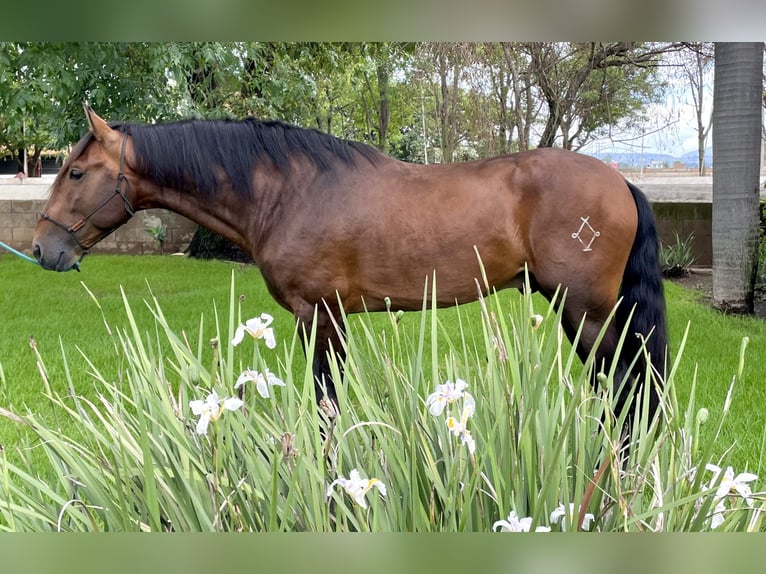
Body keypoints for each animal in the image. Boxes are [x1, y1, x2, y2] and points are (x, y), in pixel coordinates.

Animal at [33, 107, 664, 424]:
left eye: (76, 172)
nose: (43, 248)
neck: (290, 190)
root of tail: (622, 181)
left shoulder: (319, 317)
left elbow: (326, 409)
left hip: (586, 316)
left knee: (626, 390)